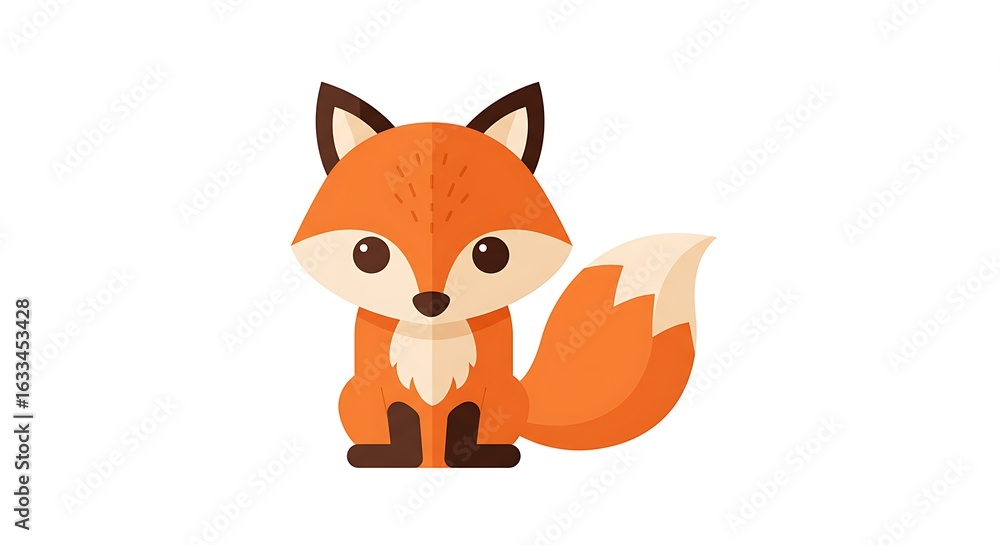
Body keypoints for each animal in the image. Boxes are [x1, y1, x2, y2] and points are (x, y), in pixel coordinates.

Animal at [292, 82, 713, 468]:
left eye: (491, 253)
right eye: (368, 253)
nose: (431, 302)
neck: (436, 336)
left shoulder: (486, 384)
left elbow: (466, 417)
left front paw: (468, 453)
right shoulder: (380, 381)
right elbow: (400, 416)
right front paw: (398, 452)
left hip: (508, 397)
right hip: (352, 396)